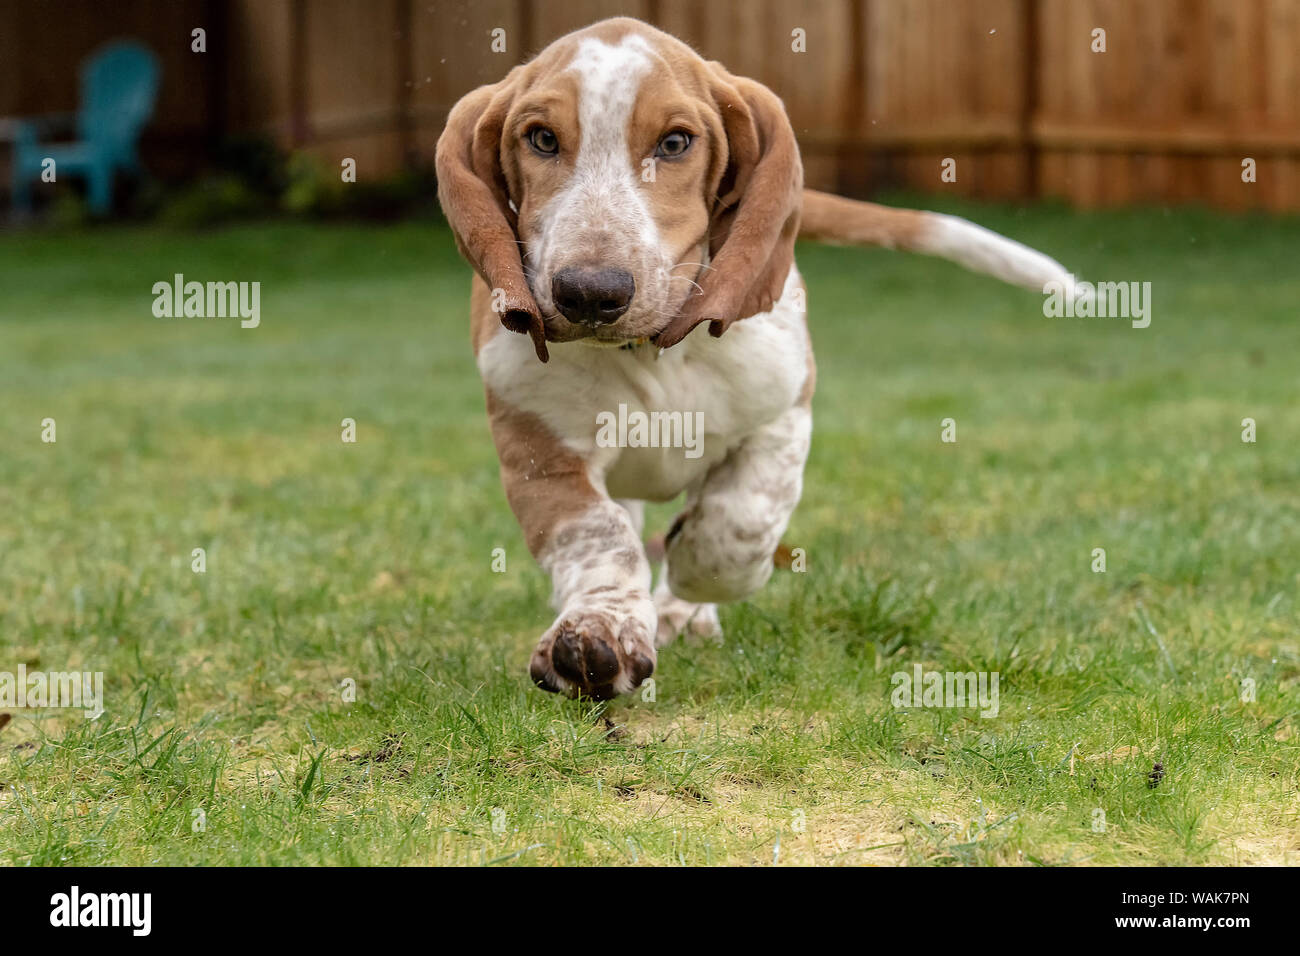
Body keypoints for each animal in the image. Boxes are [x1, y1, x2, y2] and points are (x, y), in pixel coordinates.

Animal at [439, 16, 1076, 702]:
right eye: (541, 139)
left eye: (675, 143)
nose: (588, 293)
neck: (653, 357)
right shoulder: (541, 453)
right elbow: (601, 536)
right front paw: (598, 633)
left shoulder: (782, 418)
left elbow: (738, 525)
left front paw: (689, 581)